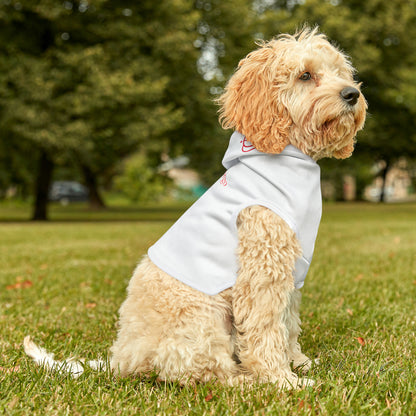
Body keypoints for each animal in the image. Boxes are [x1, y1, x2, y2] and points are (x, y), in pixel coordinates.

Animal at [24, 27, 366, 388]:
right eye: (305, 75)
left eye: (340, 72)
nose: (352, 94)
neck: (287, 155)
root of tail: (121, 359)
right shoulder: (263, 269)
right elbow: (266, 328)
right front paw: (281, 380)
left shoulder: (291, 271)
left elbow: (288, 323)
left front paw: (299, 362)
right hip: (202, 317)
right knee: (201, 371)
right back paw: (245, 380)